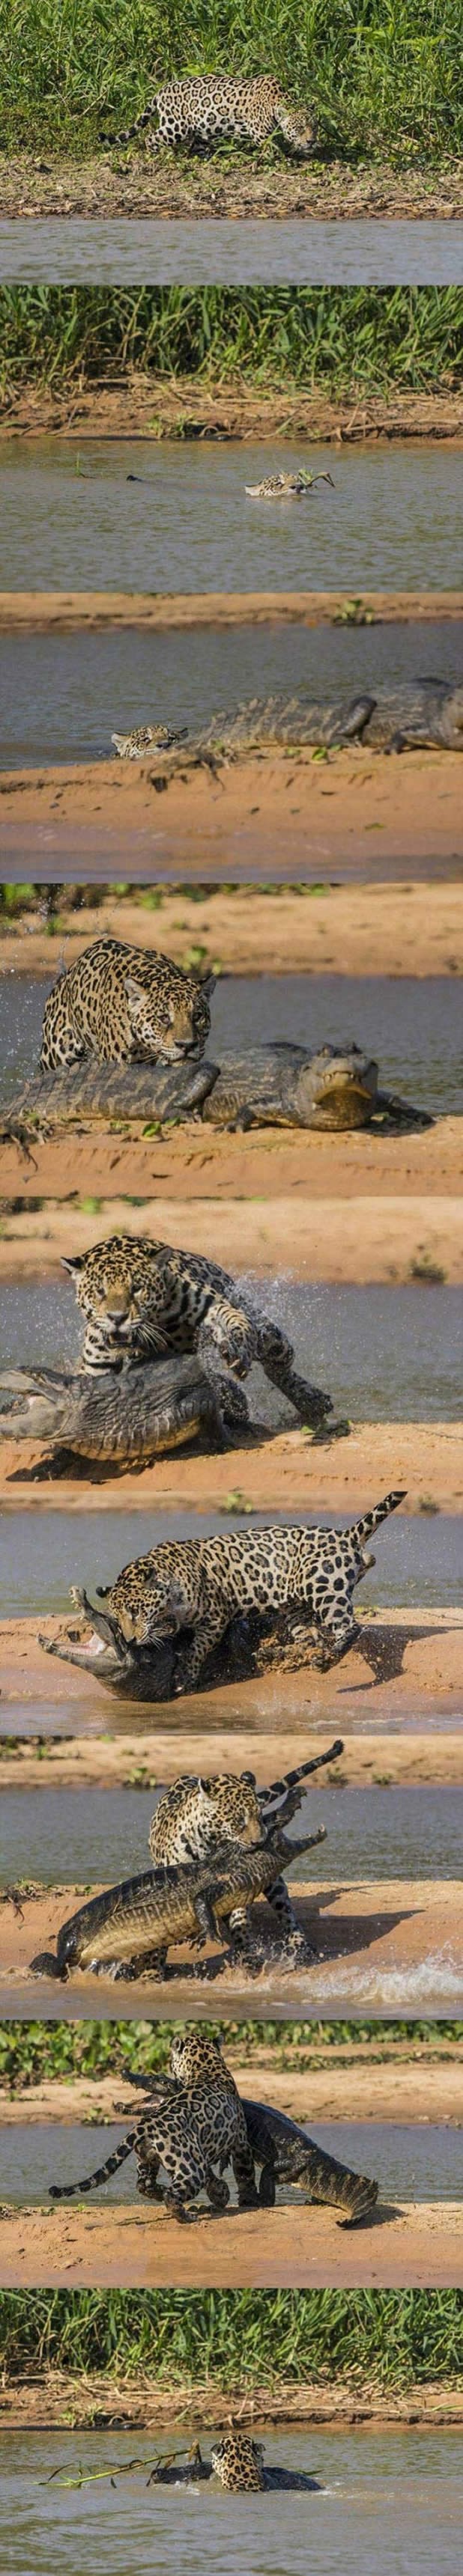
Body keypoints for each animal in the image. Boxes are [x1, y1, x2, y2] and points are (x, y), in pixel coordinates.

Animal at [48, 2030, 258, 2220]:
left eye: (159, 2078)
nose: (125, 2072)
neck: (206, 2066)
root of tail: (146, 2125)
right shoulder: (240, 2142)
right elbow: (245, 2174)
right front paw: (248, 2200)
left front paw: (221, 2192)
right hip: (189, 2167)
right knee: (172, 2193)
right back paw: (185, 2216)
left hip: (148, 2158)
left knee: (144, 2184)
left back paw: (162, 2192)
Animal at [61, 1229, 332, 1435]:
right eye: (100, 1291)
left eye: (137, 1289)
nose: (117, 1318)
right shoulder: (96, 1368)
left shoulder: (215, 1305)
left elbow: (237, 1323)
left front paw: (239, 1351)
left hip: (268, 1335)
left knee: (278, 1364)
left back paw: (312, 1401)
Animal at [93, 1489, 406, 1690]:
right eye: (118, 1617)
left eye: (135, 1612)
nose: (130, 1640)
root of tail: (347, 1535)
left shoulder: (216, 1617)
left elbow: (197, 1648)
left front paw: (186, 1677)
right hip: (295, 1606)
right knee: (310, 1638)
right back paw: (276, 1654)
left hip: (324, 1587)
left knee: (349, 1628)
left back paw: (326, 1660)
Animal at [110, 76, 317, 162]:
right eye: (299, 128)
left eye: (314, 128)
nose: (312, 141)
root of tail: (162, 90)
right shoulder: (258, 132)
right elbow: (272, 148)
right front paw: (285, 160)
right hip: (176, 127)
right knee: (150, 138)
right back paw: (158, 155)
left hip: (203, 130)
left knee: (196, 148)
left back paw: (209, 158)